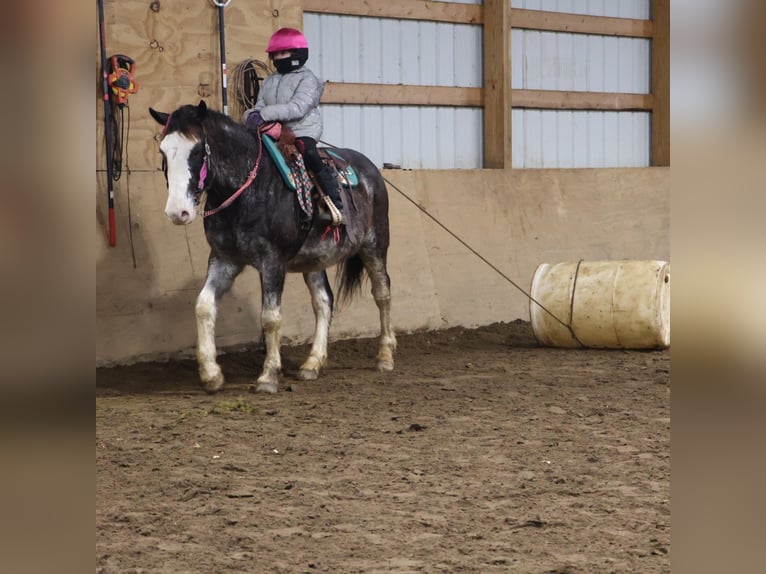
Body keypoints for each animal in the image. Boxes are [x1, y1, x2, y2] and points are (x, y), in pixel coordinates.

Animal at [149, 100, 396, 394]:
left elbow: (270, 317)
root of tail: (370, 169)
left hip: (374, 244)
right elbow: (204, 306)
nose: (178, 212)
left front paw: (268, 376)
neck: (248, 191)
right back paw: (312, 364)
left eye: (197, 151)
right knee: (324, 301)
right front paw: (211, 374)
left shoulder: (272, 262)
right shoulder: (224, 259)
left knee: (382, 293)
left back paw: (385, 357)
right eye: (163, 150)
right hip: (314, 260)